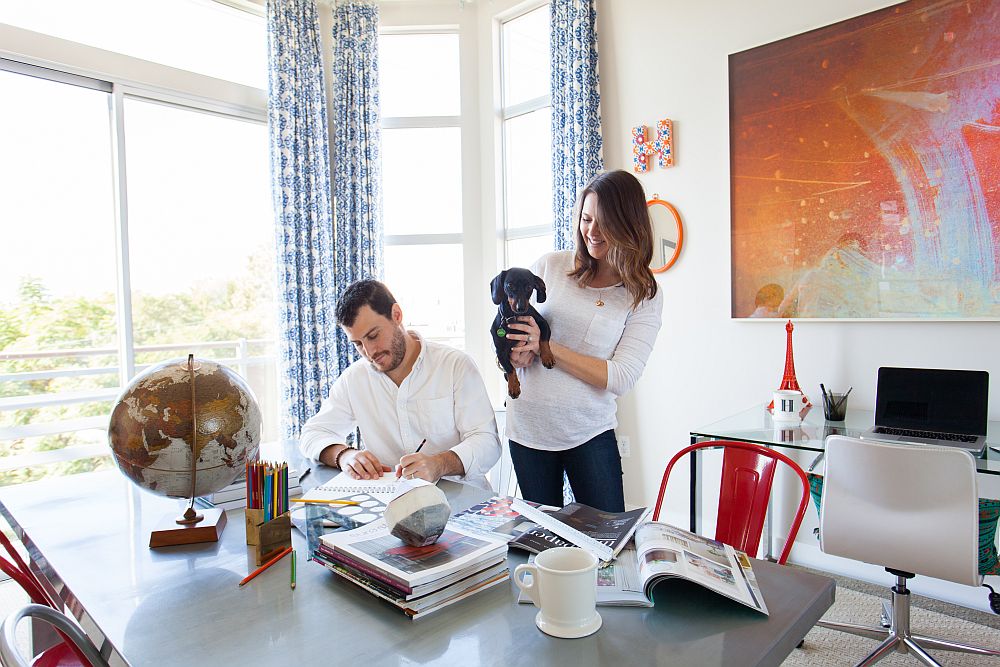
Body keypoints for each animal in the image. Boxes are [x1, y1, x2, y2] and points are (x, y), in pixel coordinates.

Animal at [490, 268, 560, 400]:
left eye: (529, 287)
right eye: (510, 285)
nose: (521, 307)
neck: (515, 317)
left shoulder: (543, 323)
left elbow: (543, 339)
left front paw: (547, 357)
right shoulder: (500, 352)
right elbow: (510, 368)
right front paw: (513, 387)